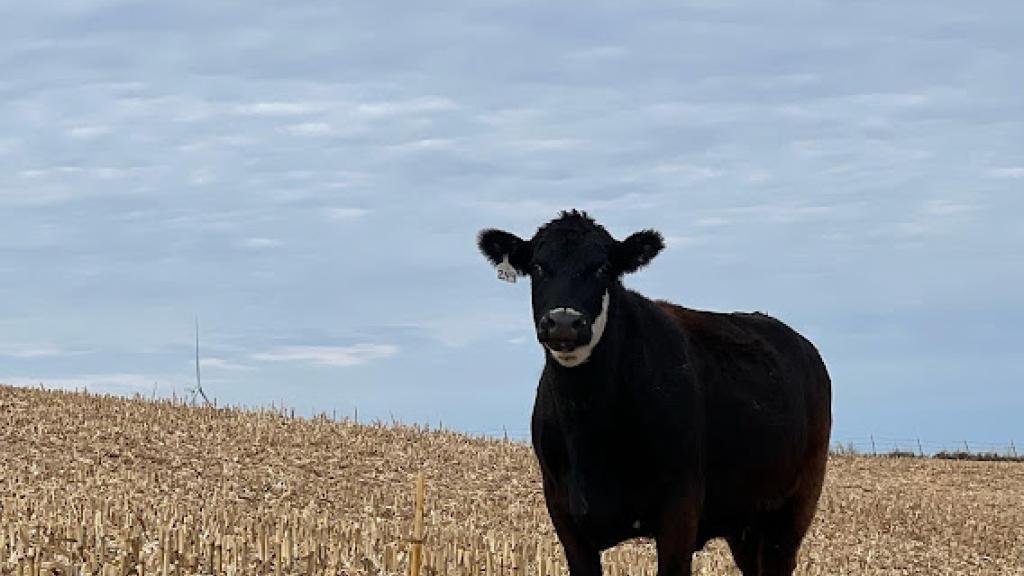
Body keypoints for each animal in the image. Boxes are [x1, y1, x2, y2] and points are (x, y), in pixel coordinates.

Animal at [479, 211, 831, 573]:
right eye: (538, 266)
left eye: (603, 267)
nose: (564, 322)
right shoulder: (565, 515)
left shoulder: (680, 507)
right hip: (744, 521)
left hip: (794, 507)